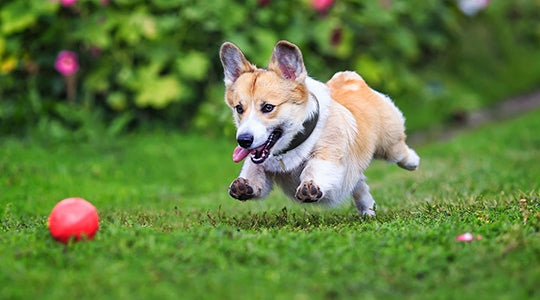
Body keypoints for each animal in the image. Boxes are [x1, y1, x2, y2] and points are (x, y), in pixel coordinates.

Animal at [217, 40, 420, 216]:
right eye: (239, 108)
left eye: (268, 107)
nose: (243, 140)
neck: (289, 148)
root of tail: (349, 78)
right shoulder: (259, 164)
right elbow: (254, 172)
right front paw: (242, 185)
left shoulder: (328, 153)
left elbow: (314, 168)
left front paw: (309, 186)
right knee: (359, 183)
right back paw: (367, 209)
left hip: (390, 144)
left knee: (400, 152)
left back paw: (413, 162)